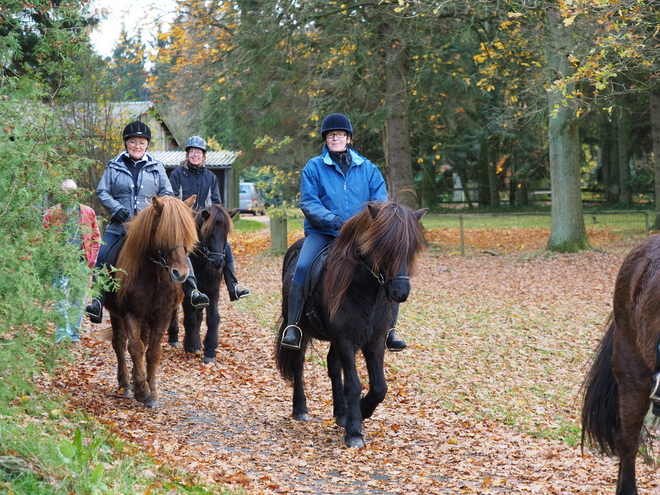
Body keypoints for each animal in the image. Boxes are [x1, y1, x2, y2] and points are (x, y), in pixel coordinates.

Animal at [105, 196, 197, 408]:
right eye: (164, 234)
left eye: (186, 235)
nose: (180, 274)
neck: (154, 275)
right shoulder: (130, 313)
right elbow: (135, 347)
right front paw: (141, 389)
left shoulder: (162, 316)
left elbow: (153, 352)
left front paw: (152, 393)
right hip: (117, 314)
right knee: (120, 344)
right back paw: (126, 385)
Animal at [166, 204, 238, 364]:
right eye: (209, 232)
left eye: (226, 232)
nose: (218, 262)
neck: (202, 261)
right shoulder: (189, 292)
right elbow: (190, 318)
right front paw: (190, 346)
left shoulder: (212, 290)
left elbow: (212, 318)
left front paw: (210, 350)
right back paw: (174, 337)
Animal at [274, 199, 426, 450]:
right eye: (383, 246)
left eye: (410, 248)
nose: (400, 292)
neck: (365, 290)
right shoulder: (345, 339)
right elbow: (354, 385)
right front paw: (355, 431)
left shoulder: (374, 340)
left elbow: (379, 387)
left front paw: (362, 412)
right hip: (301, 330)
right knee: (298, 364)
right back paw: (301, 409)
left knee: (333, 366)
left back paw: (340, 413)